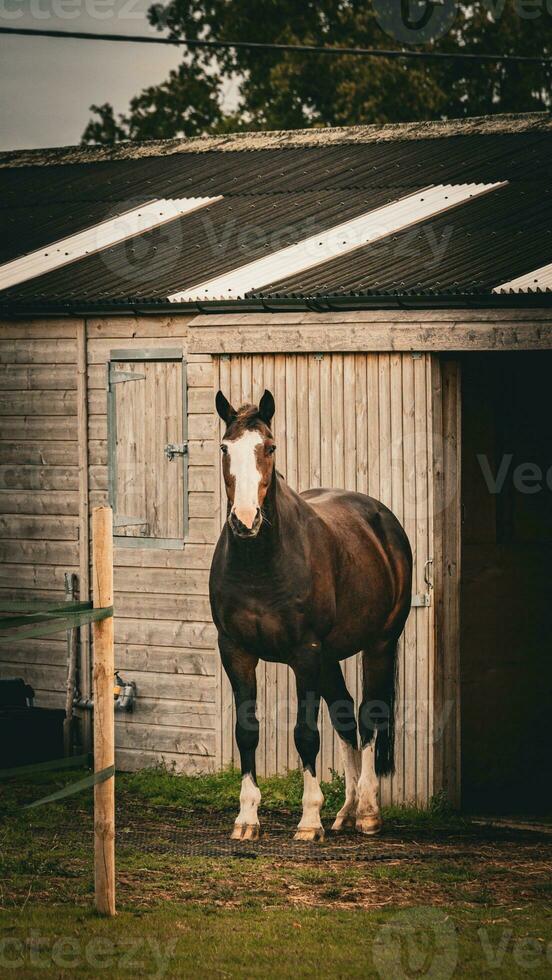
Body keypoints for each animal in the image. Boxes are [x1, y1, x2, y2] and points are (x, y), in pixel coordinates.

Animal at [209, 390, 412, 844]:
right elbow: (246, 732)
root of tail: (381, 518)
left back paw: (368, 813)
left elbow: (306, 734)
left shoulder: (305, 653)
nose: (245, 521)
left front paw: (308, 820)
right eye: (224, 448)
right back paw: (346, 812)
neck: (261, 564)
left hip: (378, 645)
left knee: (368, 717)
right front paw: (246, 818)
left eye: (269, 447)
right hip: (331, 657)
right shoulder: (235, 651)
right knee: (346, 717)